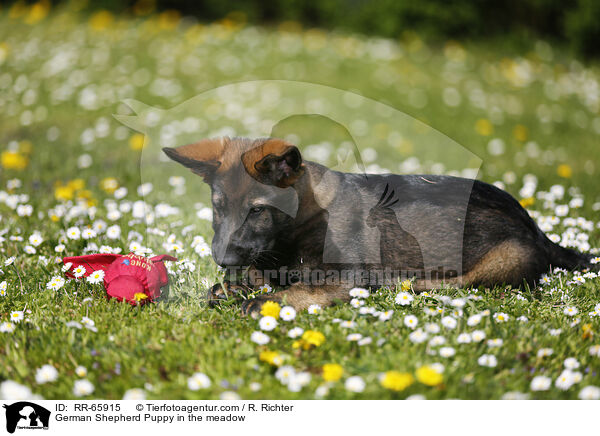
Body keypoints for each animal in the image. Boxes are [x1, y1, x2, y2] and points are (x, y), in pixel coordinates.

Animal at [165, 136, 596, 314]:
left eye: (257, 211)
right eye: (218, 208)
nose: (223, 261)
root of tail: (536, 228)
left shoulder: (345, 275)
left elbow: (304, 288)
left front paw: (265, 300)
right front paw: (231, 287)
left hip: (502, 259)